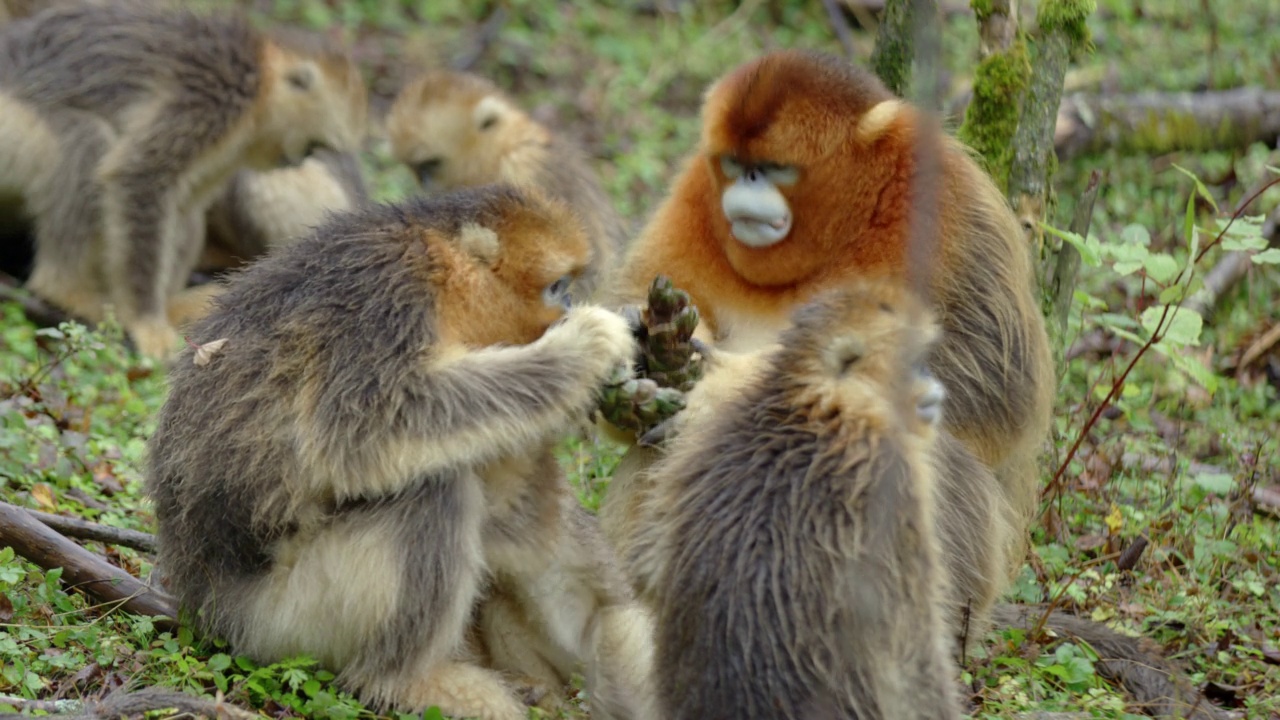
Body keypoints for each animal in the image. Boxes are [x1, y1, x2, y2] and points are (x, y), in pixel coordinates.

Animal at [0, 2, 366, 356]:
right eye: (315, 145)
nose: (299, 159)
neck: (259, 77)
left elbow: (182, 201)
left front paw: (166, 310)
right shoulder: (214, 98)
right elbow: (140, 176)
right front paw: (146, 321)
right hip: (12, 127)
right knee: (87, 138)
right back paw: (63, 289)